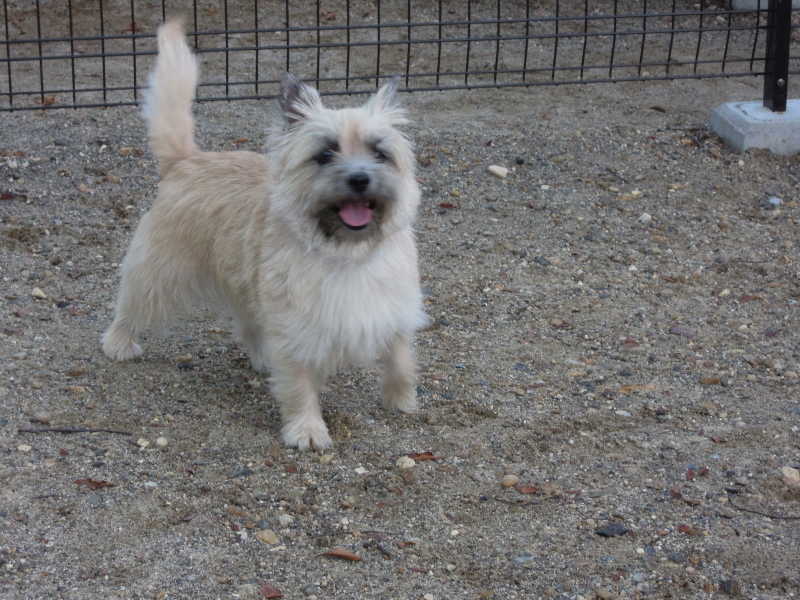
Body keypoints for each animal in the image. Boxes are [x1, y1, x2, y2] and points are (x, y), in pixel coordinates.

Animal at [101, 20, 426, 451]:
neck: (344, 255)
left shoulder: (392, 311)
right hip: (158, 270)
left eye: (379, 153)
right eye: (325, 154)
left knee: (248, 324)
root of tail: (188, 159)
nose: (359, 179)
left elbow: (402, 360)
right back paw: (119, 343)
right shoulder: (294, 332)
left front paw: (402, 400)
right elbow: (300, 386)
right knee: (132, 305)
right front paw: (307, 430)